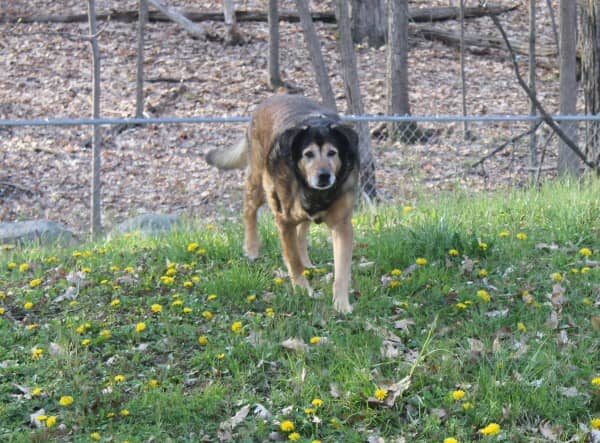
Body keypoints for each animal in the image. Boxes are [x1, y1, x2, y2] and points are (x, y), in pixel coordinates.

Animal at [204, 95, 358, 314]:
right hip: (259, 183)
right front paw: (303, 291)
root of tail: (269, 100)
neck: (314, 191)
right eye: (308, 154)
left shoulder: (341, 225)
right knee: (249, 210)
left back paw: (307, 262)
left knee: (301, 230)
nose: (324, 176)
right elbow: (293, 260)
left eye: (332, 153)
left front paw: (341, 304)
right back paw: (251, 248)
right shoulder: (284, 221)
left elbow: (342, 271)